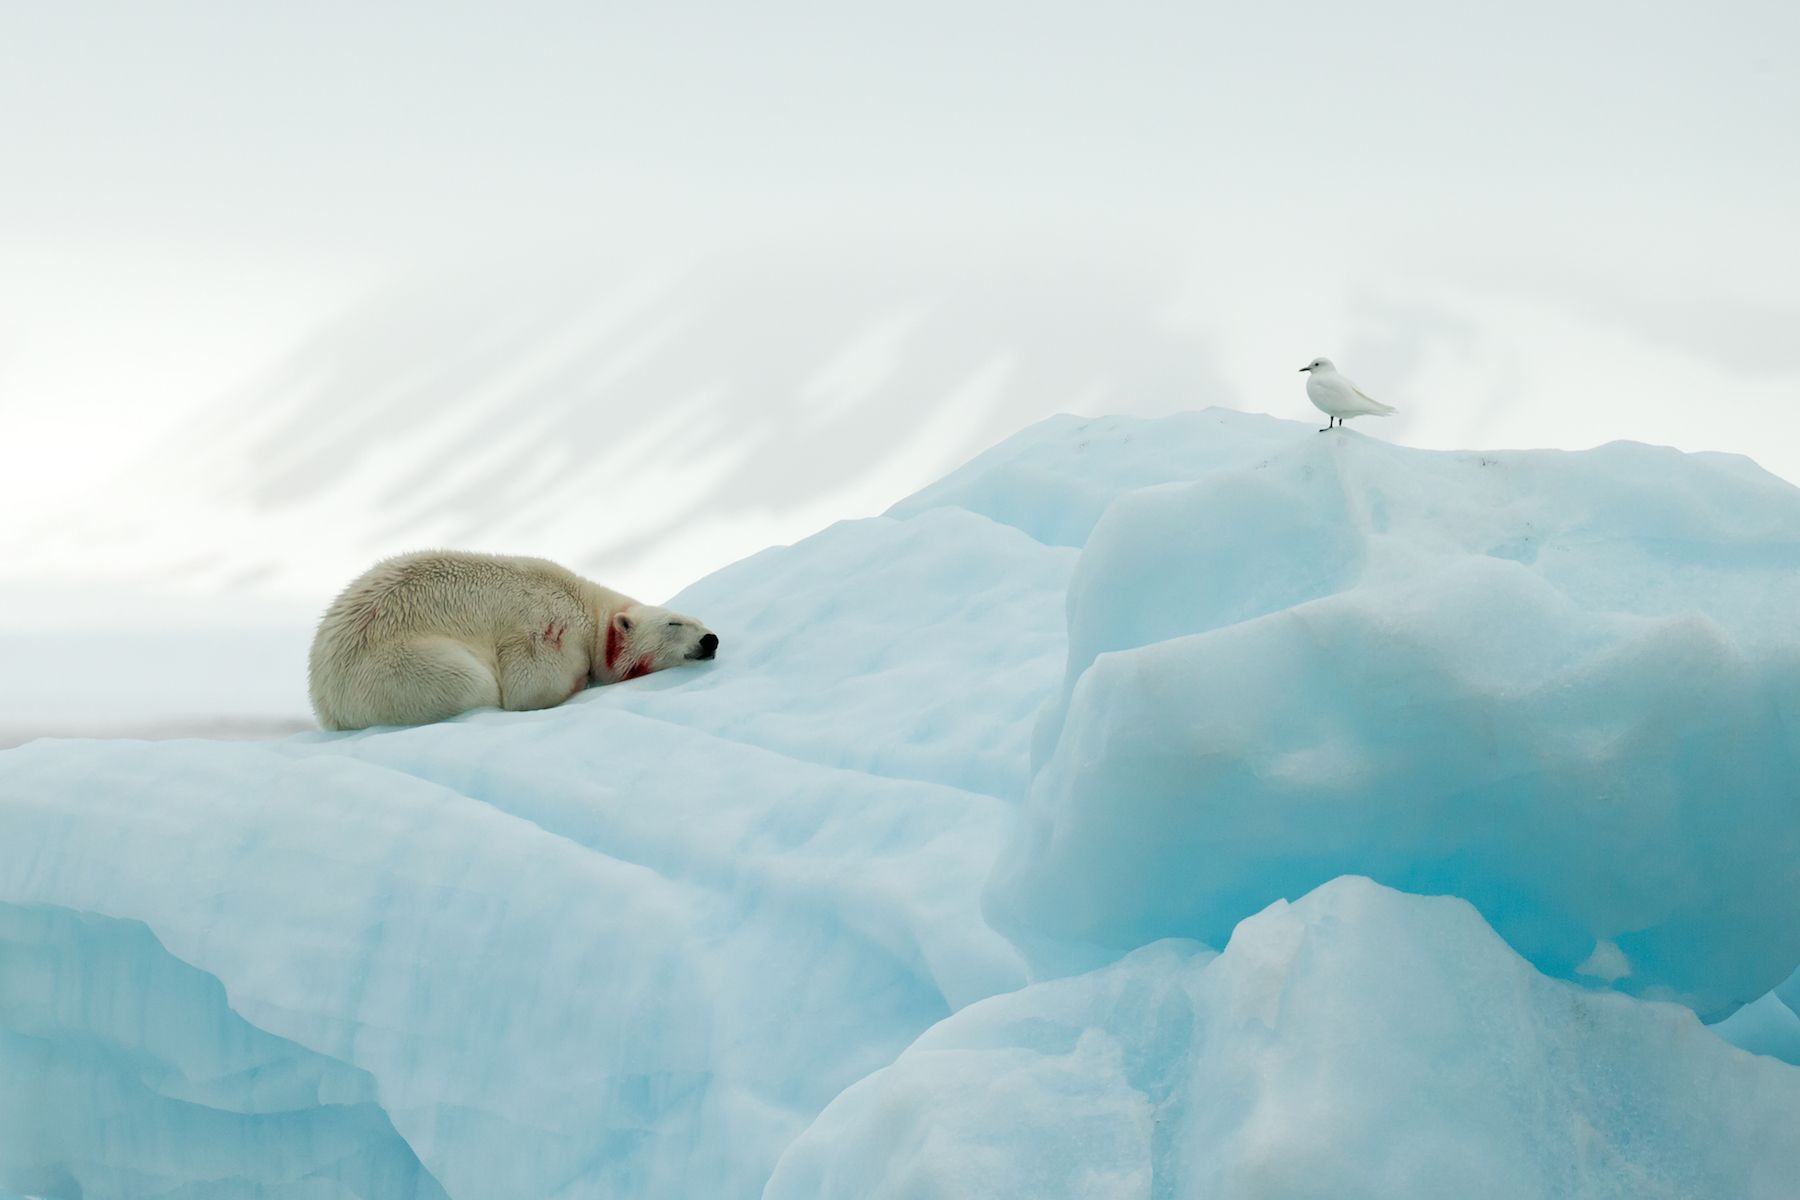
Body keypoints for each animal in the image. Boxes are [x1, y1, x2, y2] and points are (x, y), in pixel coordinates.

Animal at [307, 550, 716, 734]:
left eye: (699, 620)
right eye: (674, 623)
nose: (710, 640)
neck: (590, 611)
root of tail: (325, 700)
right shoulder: (548, 626)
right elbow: (531, 684)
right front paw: (574, 684)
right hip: (396, 667)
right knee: (471, 681)